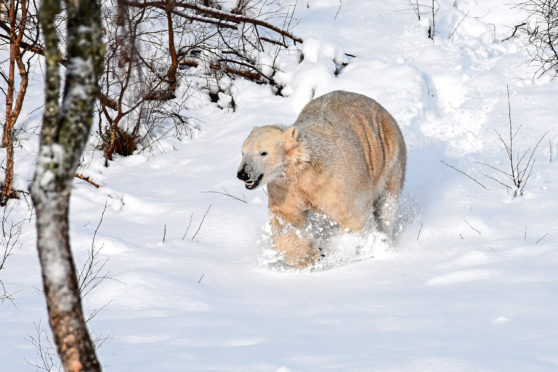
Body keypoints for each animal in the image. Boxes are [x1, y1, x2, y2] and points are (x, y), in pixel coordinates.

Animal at [236, 90, 406, 268]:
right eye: (243, 152)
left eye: (263, 152)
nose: (243, 174)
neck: (304, 169)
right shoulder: (285, 185)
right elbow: (286, 217)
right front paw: (313, 255)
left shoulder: (337, 180)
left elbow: (353, 215)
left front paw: (336, 251)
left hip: (389, 155)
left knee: (387, 204)